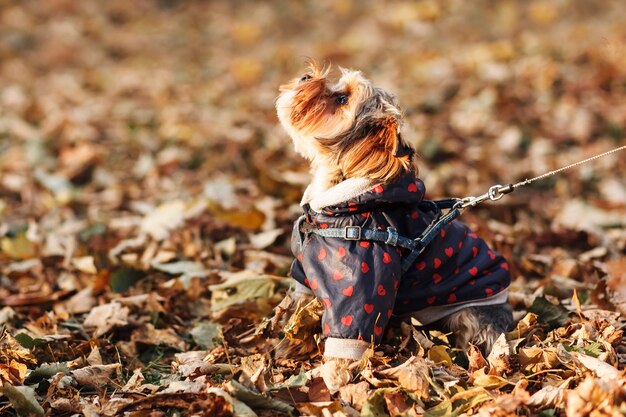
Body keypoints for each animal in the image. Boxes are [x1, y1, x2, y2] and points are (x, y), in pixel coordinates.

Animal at [276, 61, 510, 360]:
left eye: (342, 99)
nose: (305, 76)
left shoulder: (366, 275)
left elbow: (352, 328)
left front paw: (333, 370)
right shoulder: (307, 271)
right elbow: (300, 307)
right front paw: (289, 342)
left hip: (472, 313)